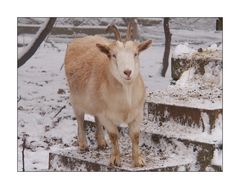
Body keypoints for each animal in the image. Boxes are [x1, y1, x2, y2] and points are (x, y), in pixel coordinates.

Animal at [64, 23, 152, 167]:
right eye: (113, 55)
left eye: (136, 53)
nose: (127, 72)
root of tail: (82, 39)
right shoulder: (106, 115)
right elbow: (113, 135)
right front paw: (115, 160)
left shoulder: (137, 113)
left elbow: (135, 136)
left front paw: (138, 160)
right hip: (76, 100)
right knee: (80, 119)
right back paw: (83, 145)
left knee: (96, 119)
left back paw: (101, 142)